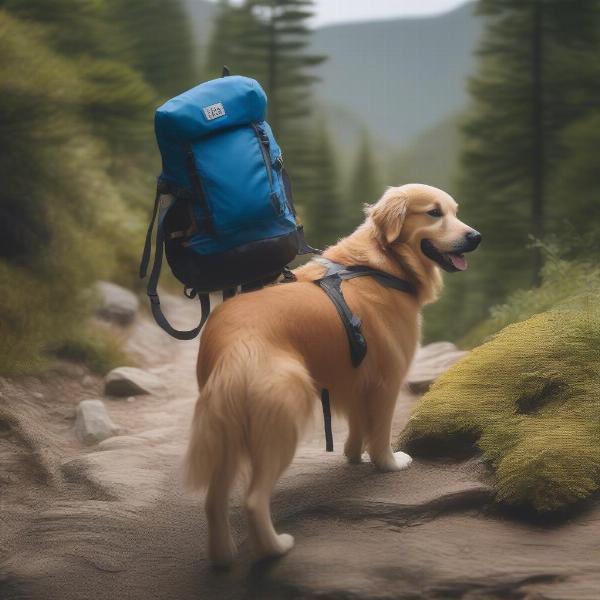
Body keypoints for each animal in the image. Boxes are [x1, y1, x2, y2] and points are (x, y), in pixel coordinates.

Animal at [183, 184, 478, 568]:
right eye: (433, 213)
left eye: (456, 211)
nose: (476, 236)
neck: (381, 264)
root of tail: (235, 346)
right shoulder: (387, 379)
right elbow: (380, 433)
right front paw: (388, 463)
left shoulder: (353, 376)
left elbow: (357, 423)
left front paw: (353, 455)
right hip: (283, 422)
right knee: (253, 499)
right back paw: (275, 548)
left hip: (226, 432)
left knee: (213, 500)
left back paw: (223, 558)